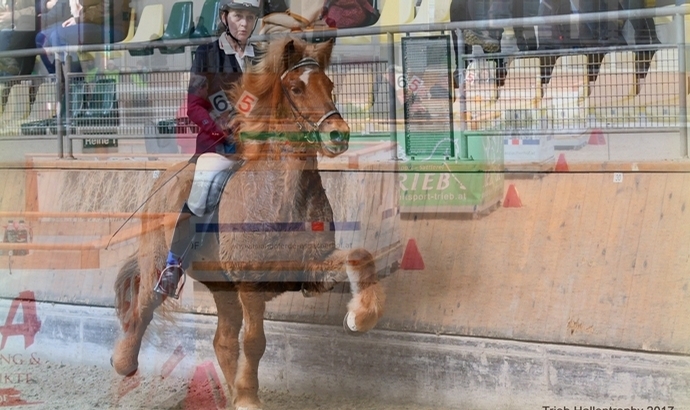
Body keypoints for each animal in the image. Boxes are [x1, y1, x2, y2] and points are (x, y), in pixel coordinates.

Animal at [110, 36, 384, 408]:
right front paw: (249, 399)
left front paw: (361, 316)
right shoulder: (251, 284)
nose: (338, 135)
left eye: (329, 85)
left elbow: (360, 257)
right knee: (142, 308)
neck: (281, 196)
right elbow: (255, 342)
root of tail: (164, 179)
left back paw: (230, 392)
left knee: (222, 341)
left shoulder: (312, 266)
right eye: (296, 88)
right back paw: (123, 362)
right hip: (158, 265)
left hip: (222, 288)